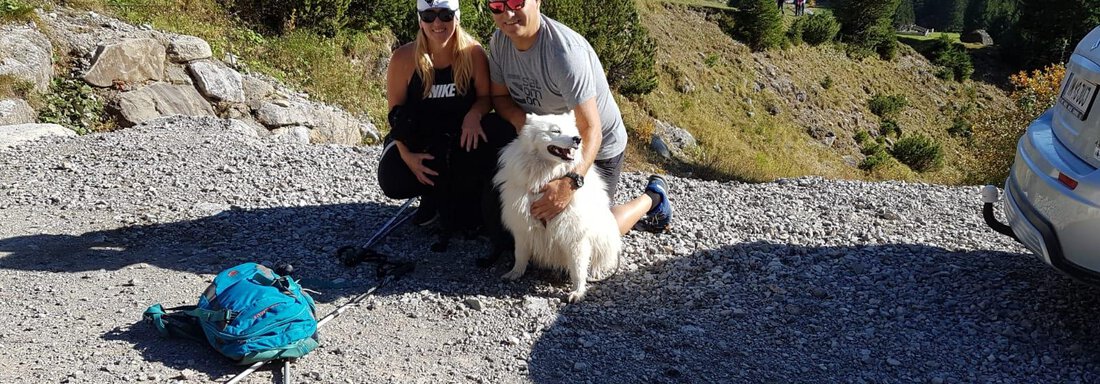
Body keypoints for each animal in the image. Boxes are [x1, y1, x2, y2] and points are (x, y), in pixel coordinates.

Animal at [495, 111, 624, 301]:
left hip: (604, 235)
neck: (546, 178)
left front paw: (577, 292)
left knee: (601, 258)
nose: (577, 139)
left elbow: (578, 269)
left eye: (573, 131)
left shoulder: (576, 236)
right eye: (555, 130)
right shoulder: (523, 228)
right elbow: (520, 254)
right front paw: (515, 273)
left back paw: (596, 271)